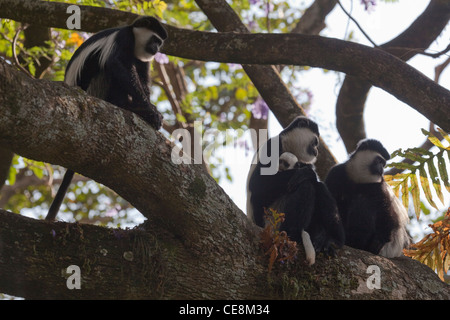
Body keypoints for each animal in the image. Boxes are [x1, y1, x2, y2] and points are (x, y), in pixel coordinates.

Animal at [44, 16, 168, 221]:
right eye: (155, 40)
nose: (157, 49)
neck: (135, 41)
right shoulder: (123, 39)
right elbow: (116, 64)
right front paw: (149, 112)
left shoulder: (143, 60)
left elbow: (142, 78)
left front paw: (149, 109)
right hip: (96, 88)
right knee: (109, 70)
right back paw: (127, 106)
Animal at [246, 116, 344, 262]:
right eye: (315, 142)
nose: (317, 150)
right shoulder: (272, 147)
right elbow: (258, 184)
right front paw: (305, 173)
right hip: (273, 219)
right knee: (306, 186)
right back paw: (294, 234)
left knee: (319, 188)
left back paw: (332, 240)